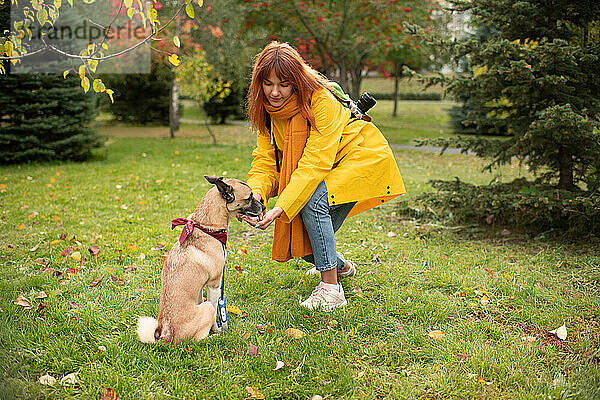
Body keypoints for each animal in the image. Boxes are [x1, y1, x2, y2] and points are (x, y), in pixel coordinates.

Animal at [139, 175, 266, 344]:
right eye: (249, 197)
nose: (263, 207)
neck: (206, 227)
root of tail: (167, 337)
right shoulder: (214, 284)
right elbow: (216, 314)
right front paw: (218, 329)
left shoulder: (202, 289)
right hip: (207, 308)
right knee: (198, 338)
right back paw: (213, 337)